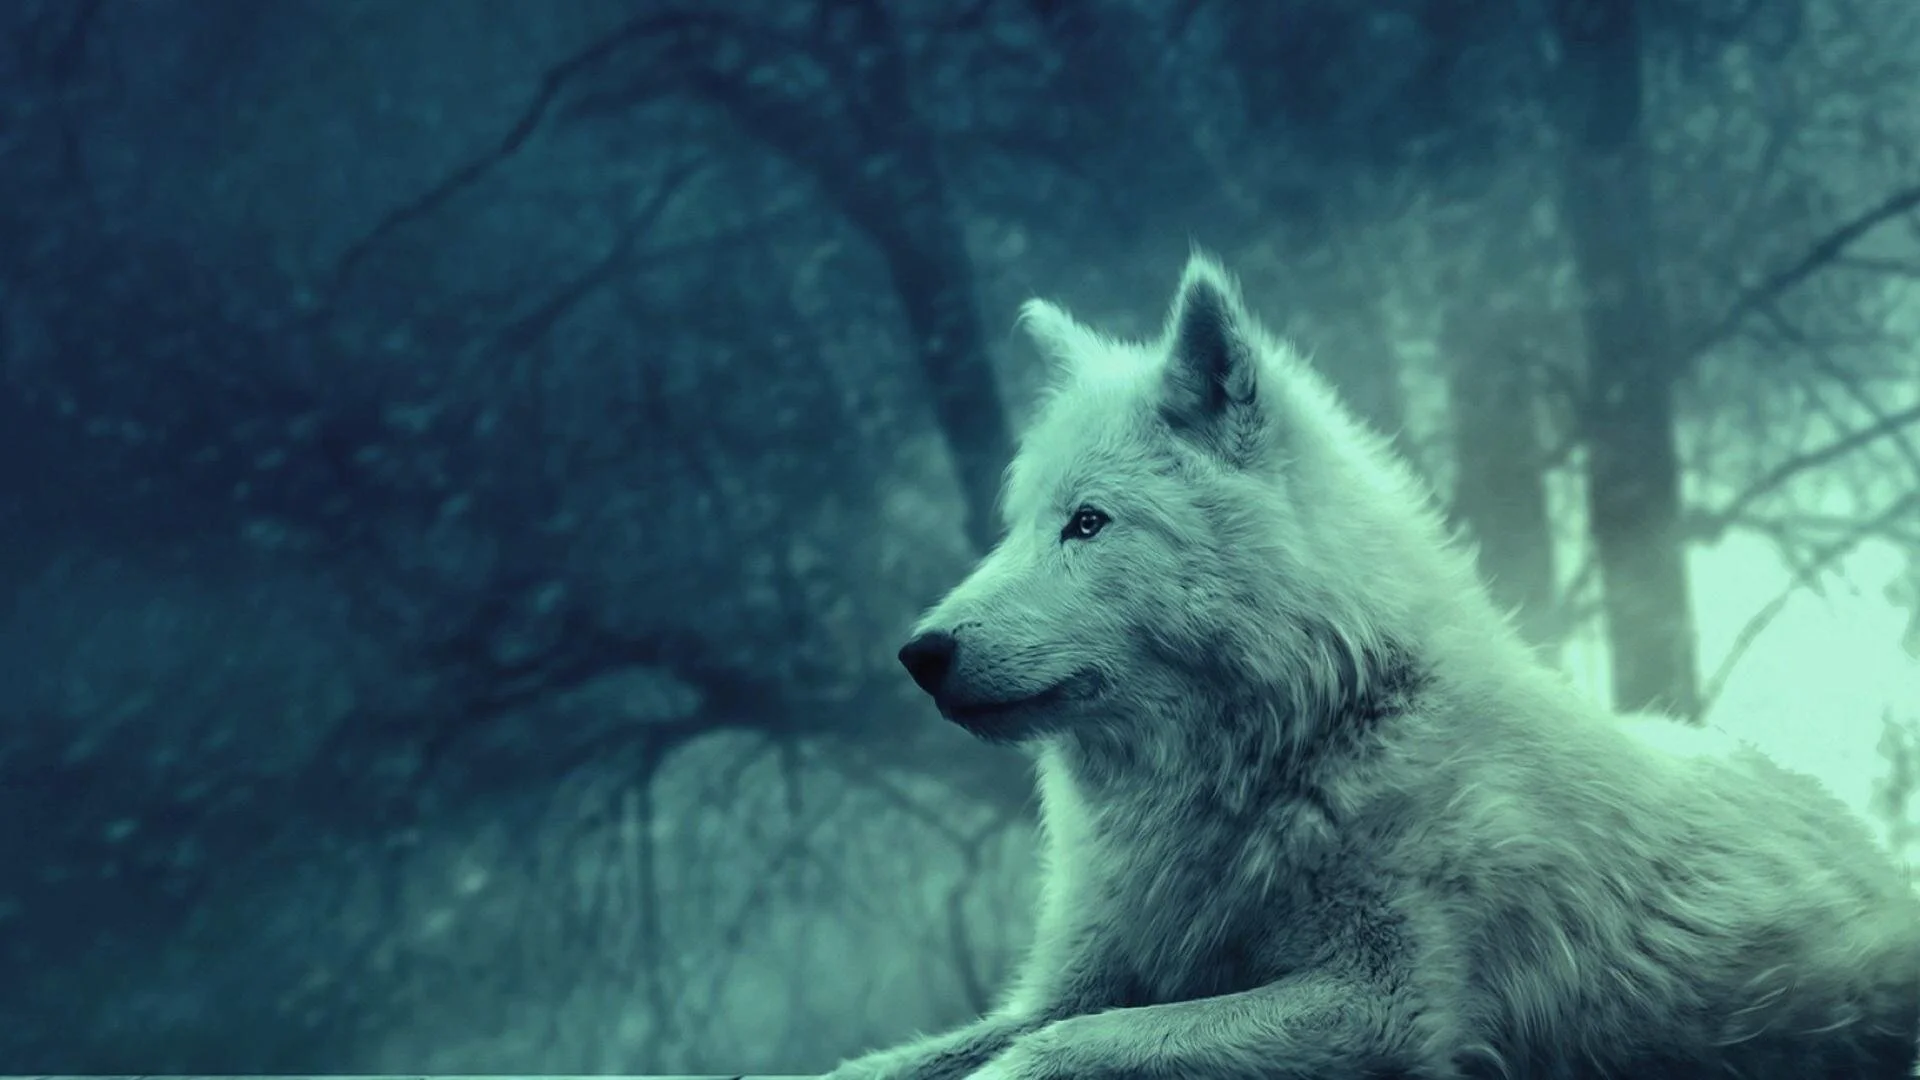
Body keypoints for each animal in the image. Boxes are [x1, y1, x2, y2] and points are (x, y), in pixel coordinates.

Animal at [828, 256, 1920, 1079]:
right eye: (1015, 526)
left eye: (1088, 523)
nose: (919, 654)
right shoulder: (1072, 984)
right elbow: (897, 1060)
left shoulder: (1383, 1006)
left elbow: (1062, 1052)